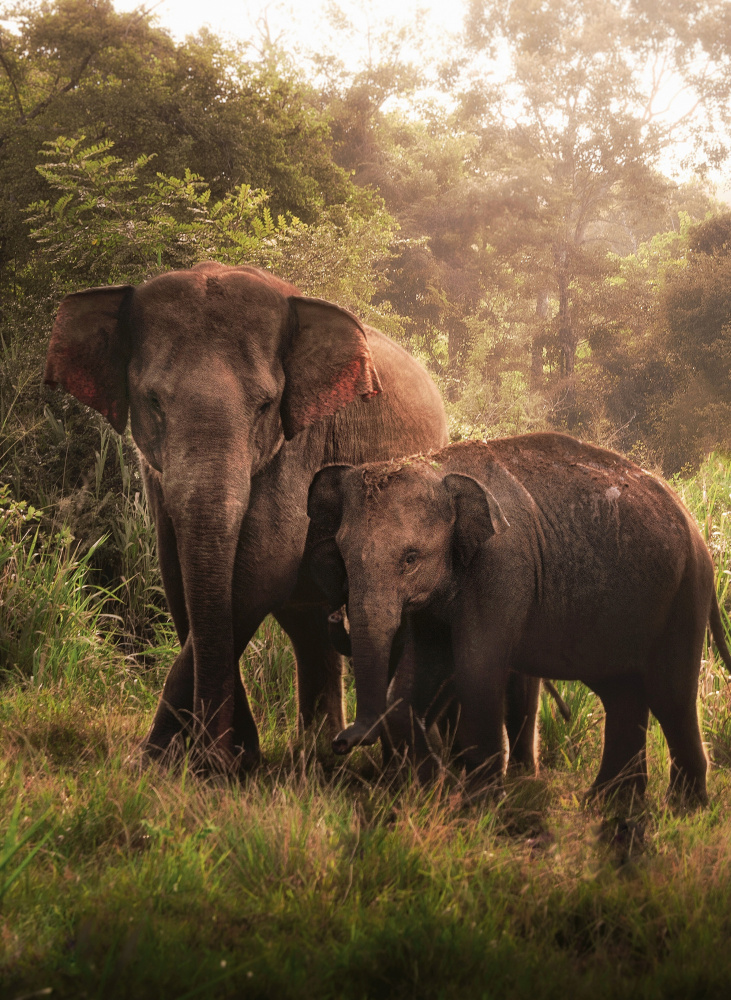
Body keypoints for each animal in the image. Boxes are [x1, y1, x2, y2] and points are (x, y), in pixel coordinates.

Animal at [44, 262, 448, 769]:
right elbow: (179, 575)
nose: (212, 755)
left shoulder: (303, 445)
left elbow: (260, 571)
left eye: (265, 406)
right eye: (152, 401)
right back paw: (319, 754)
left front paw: (168, 760)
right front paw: (211, 759)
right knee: (308, 627)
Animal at [306, 433, 731, 803]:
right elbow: (415, 679)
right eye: (342, 556)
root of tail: (696, 529)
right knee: (622, 693)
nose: (342, 742)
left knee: (670, 696)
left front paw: (477, 807)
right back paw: (606, 803)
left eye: (410, 558)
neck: (439, 463)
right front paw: (431, 789)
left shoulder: (503, 566)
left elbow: (478, 671)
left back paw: (682, 807)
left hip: (684, 596)